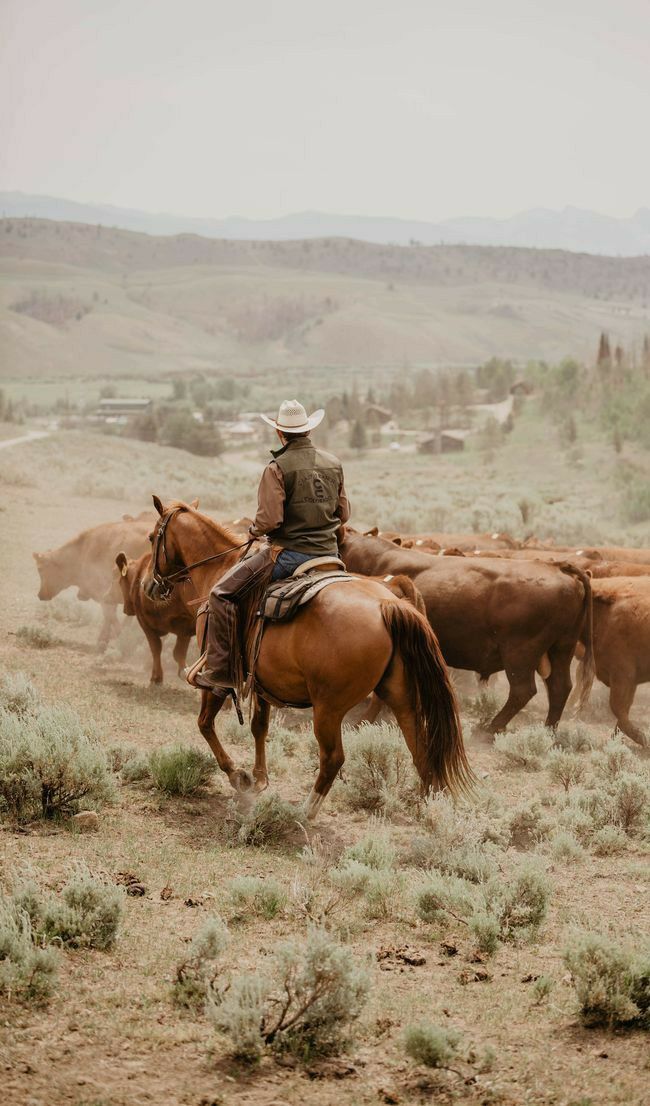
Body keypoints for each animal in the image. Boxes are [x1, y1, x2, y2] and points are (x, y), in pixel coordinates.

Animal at [33, 513, 154, 650]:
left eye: (40, 569)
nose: (40, 595)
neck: (83, 550)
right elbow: (110, 615)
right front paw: (106, 640)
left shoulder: (102, 591)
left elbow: (109, 614)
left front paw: (120, 640)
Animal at [114, 548, 195, 676]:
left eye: (119, 582)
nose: (126, 610)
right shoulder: (185, 626)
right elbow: (179, 653)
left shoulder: (144, 622)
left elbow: (156, 648)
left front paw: (156, 677)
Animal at [144, 497, 475, 818]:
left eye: (151, 537)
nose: (148, 584)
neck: (219, 569)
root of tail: (387, 605)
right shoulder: (260, 680)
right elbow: (259, 727)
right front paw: (259, 778)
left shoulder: (216, 676)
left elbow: (204, 723)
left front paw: (238, 776)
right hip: (401, 695)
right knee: (419, 746)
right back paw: (430, 805)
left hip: (328, 708)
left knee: (333, 758)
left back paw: (305, 812)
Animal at [340, 528, 592, 729]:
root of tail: (559, 567)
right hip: (561, 649)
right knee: (559, 687)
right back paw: (549, 731)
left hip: (520, 654)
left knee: (523, 690)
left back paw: (491, 729)